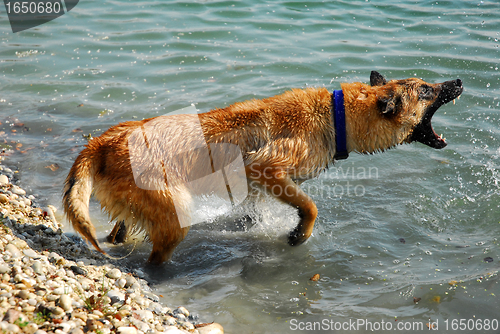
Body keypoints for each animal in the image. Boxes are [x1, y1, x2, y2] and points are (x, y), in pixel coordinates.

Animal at [64, 72, 462, 264]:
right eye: (427, 91)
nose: (458, 81)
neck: (338, 116)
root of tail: (101, 143)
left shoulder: (257, 184)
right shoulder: (266, 169)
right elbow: (310, 207)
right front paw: (299, 234)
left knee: (121, 231)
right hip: (173, 214)